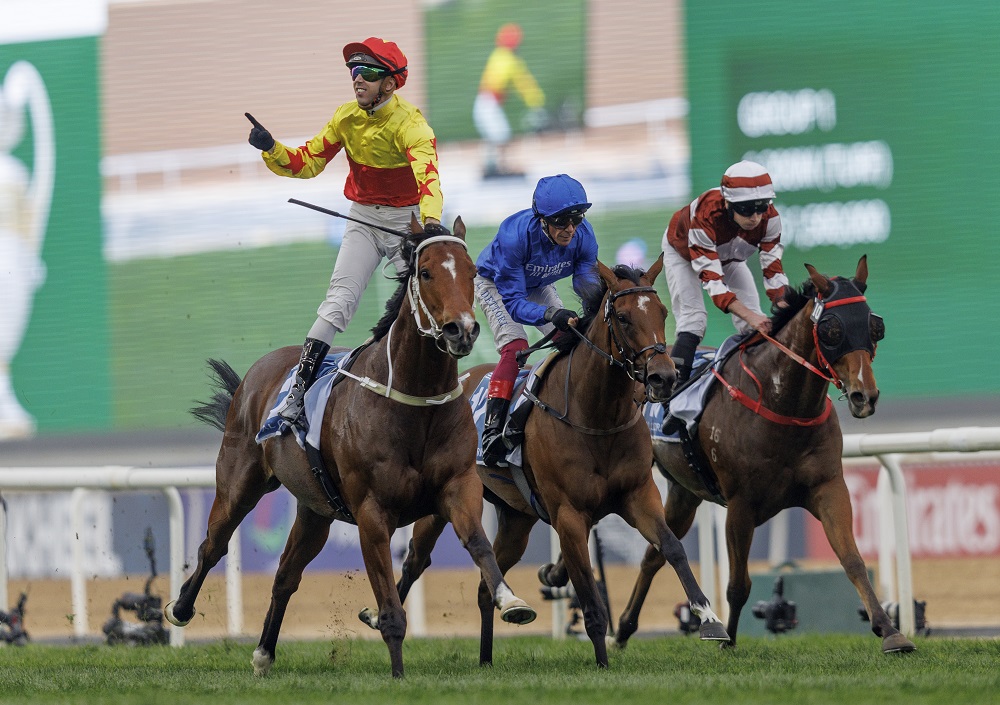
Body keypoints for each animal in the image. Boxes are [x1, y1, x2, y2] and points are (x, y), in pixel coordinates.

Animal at [166, 216, 540, 676]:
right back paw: (181, 608)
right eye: (426, 272)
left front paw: (511, 599)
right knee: (212, 546)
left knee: (286, 575)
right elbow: (391, 609)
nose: (463, 330)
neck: (415, 403)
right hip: (239, 483)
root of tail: (257, 372)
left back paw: (264, 653)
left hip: (315, 509)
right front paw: (398, 675)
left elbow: (479, 544)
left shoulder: (458, 487)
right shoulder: (371, 513)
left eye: (472, 273)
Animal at [372, 256, 732, 668]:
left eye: (662, 311)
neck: (597, 417)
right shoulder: (569, 515)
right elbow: (590, 595)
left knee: (484, 586)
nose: (664, 376)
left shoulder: (639, 495)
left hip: (516, 519)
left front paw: (709, 618)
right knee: (415, 561)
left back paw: (486, 658)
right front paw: (602, 663)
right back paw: (380, 618)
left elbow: (670, 547)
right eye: (623, 317)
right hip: (442, 504)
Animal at [608, 256, 916, 652]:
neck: (782, 402)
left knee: (653, 555)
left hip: (684, 492)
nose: (865, 396)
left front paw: (890, 630)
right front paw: (727, 640)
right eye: (832, 329)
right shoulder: (741, 504)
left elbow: (853, 561)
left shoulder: (829, 487)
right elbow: (738, 585)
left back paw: (624, 628)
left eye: (874, 326)